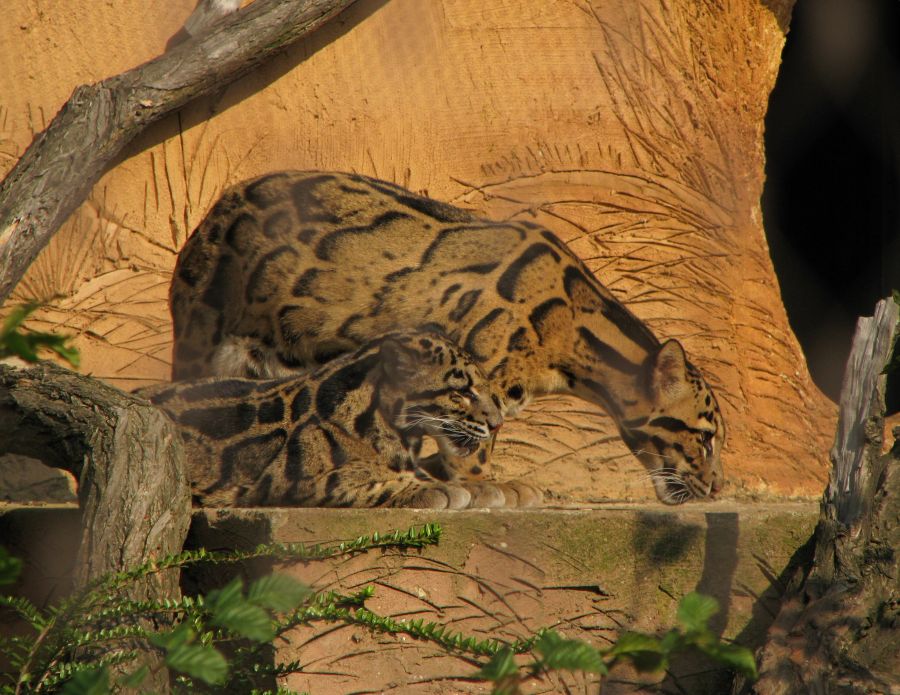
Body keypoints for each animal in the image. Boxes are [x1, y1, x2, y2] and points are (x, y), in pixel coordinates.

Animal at [137, 331, 539, 508]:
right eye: (461, 391)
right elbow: (373, 481)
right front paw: (435, 489)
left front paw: (503, 485)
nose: (498, 423)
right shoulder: (290, 480)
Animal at [170, 170, 726, 504]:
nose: (718, 488)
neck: (570, 329)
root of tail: (212, 211)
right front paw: (482, 484)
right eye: (704, 436)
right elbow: (472, 443)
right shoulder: (471, 374)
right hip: (205, 333)